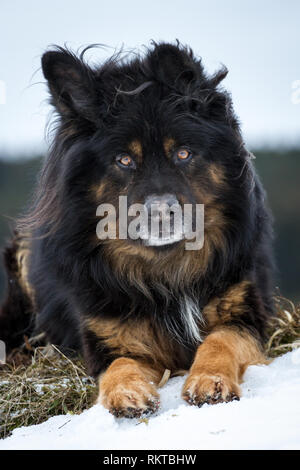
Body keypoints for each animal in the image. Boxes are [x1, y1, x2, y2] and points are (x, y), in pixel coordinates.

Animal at [0, 39, 274, 414]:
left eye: (183, 153)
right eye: (124, 160)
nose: (160, 213)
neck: (166, 267)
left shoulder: (245, 314)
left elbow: (221, 340)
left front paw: (210, 380)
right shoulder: (109, 340)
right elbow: (119, 364)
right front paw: (126, 391)